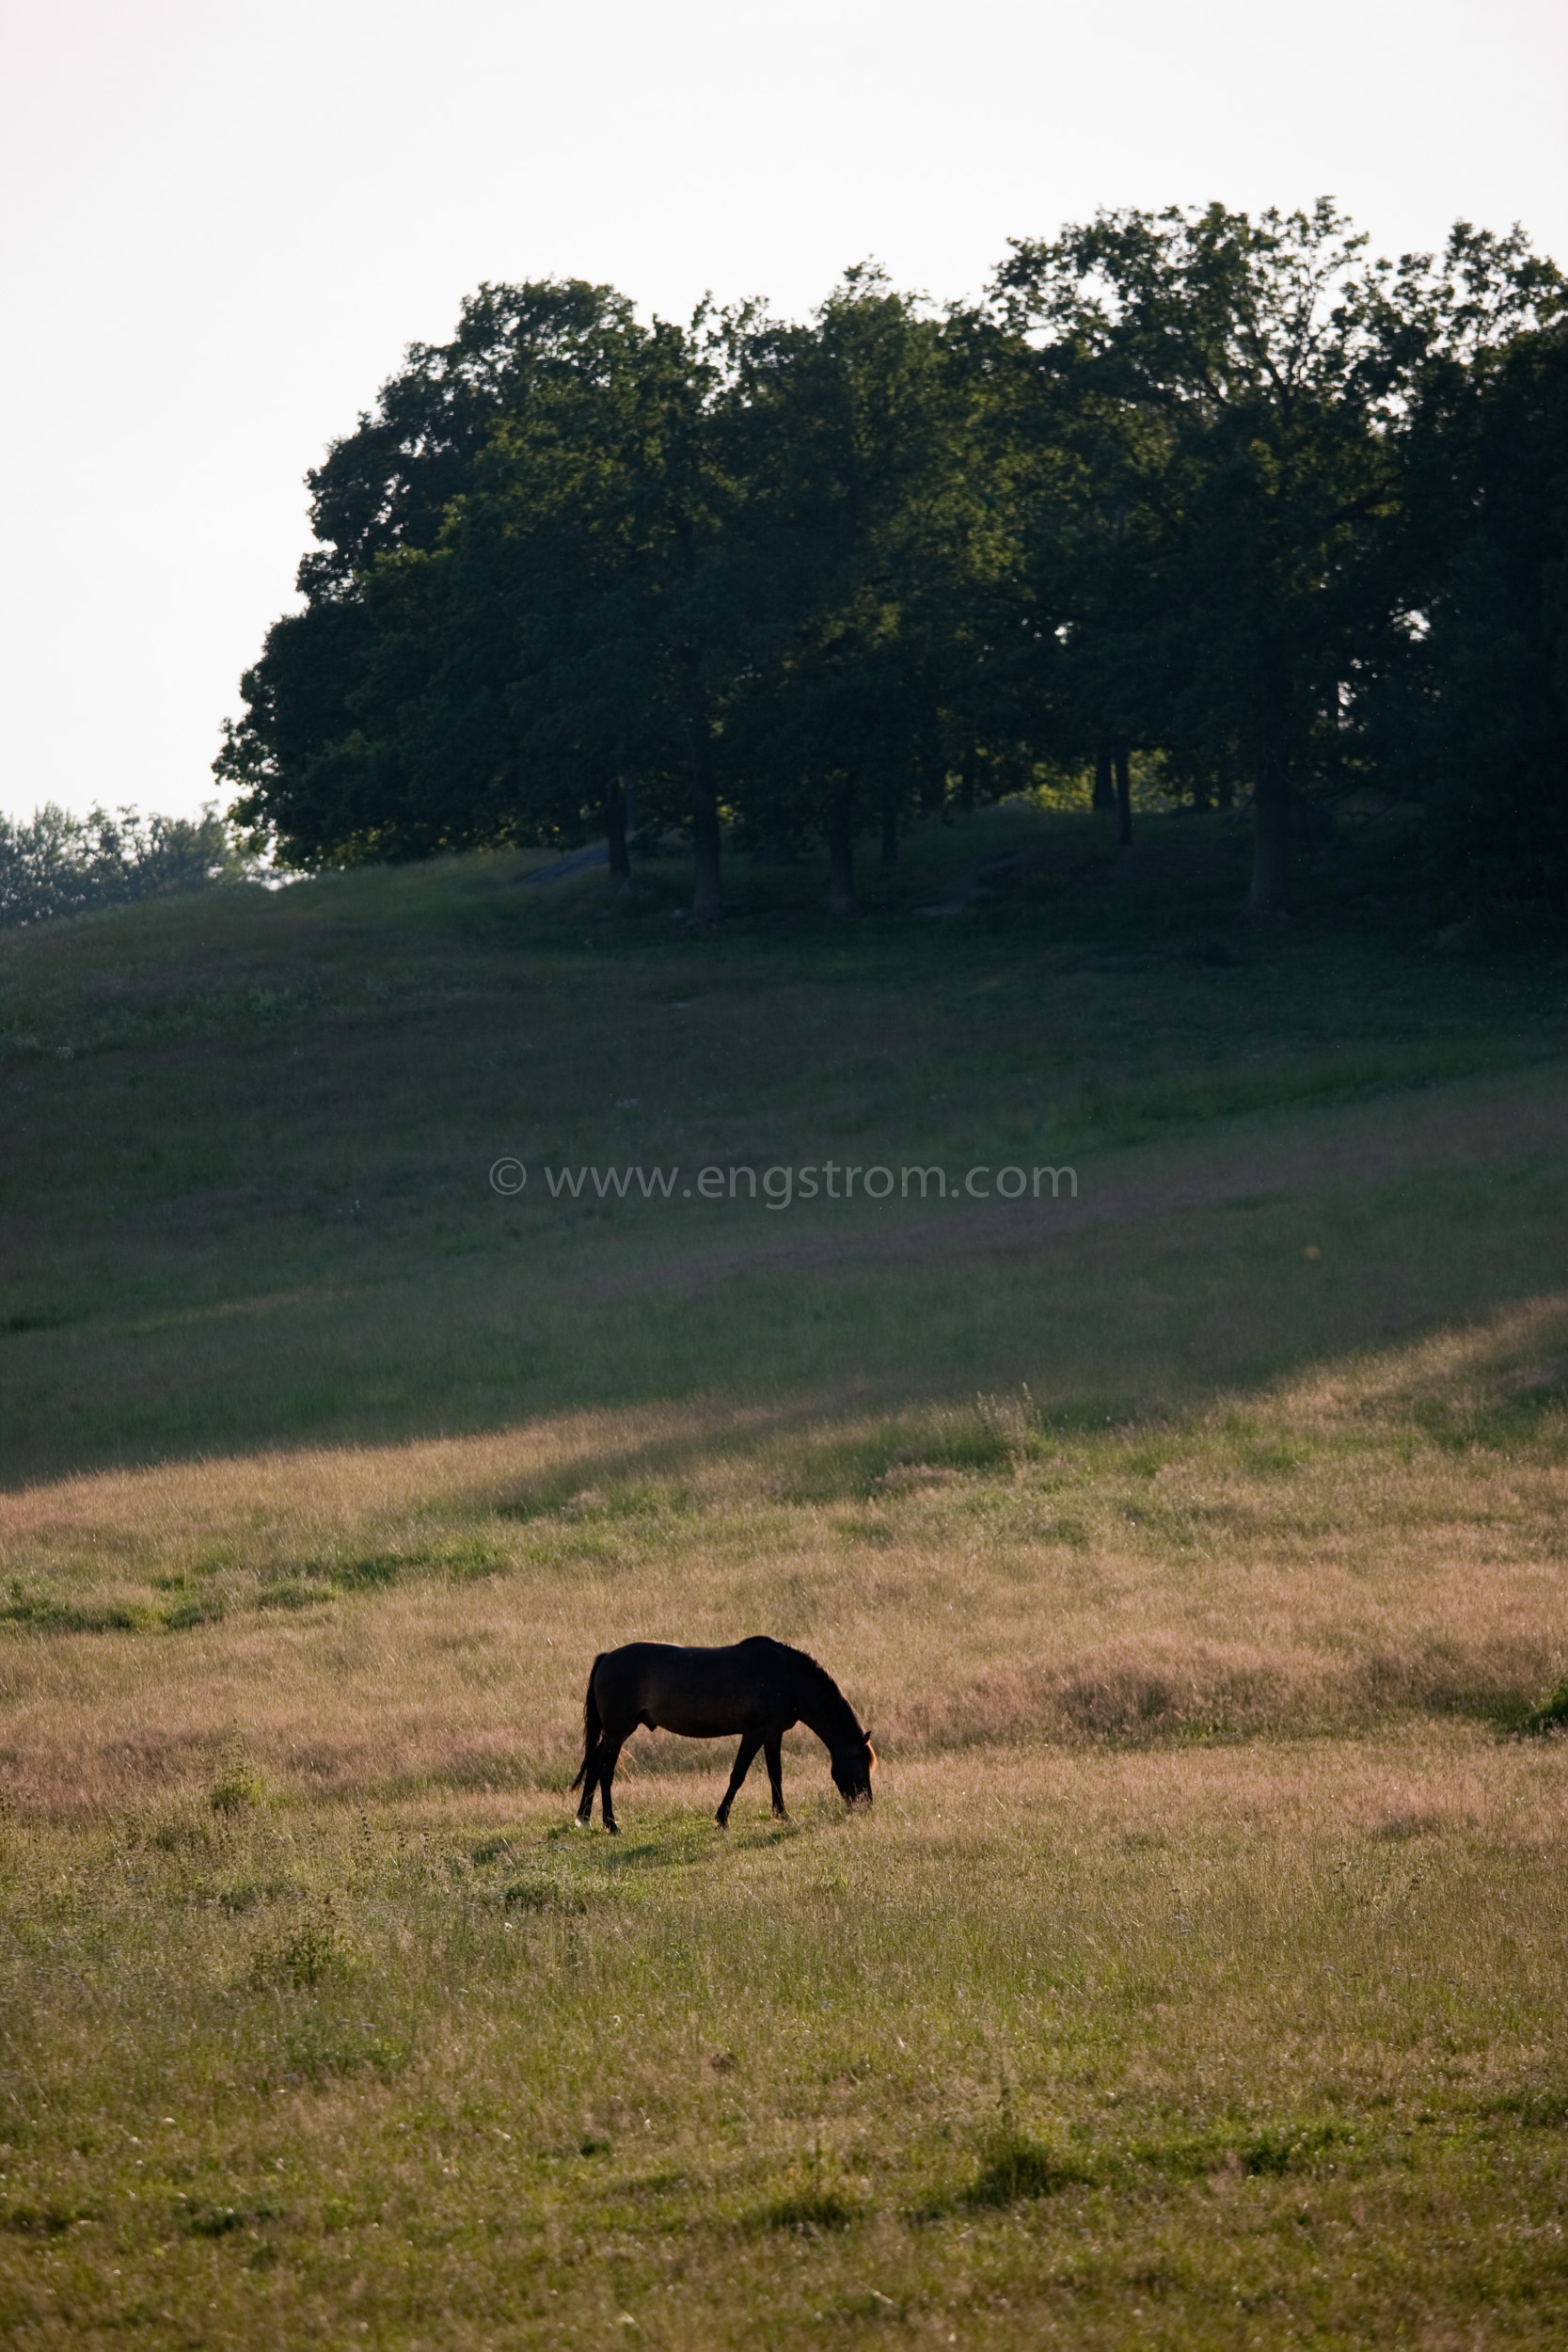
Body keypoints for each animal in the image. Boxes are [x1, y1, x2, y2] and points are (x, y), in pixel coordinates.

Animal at [571, 1637, 879, 1835]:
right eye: (861, 1766)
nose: (865, 1806)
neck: (789, 1676)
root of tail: (607, 1657)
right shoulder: (754, 1733)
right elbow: (738, 1776)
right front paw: (722, 1819)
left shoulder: (773, 1734)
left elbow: (775, 1774)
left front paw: (782, 1814)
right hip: (617, 1731)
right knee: (605, 1770)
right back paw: (611, 1824)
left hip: (620, 1730)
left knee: (595, 1765)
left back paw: (584, 1818)